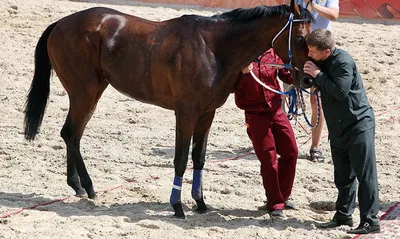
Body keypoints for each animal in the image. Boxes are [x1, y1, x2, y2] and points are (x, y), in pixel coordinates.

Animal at [24, 0, 312, 218]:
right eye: (300, 38)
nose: (308, 80)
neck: (213, 48)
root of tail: (61, 23)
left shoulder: (207, 113)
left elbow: (199, 157)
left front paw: (200, 202)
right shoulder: (186, 113)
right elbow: (181, 158)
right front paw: (177, 206)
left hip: (92, 93)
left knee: (72, 134)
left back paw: (79, 186)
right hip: (84, 93)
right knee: (71, 133)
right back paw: (87, 186)